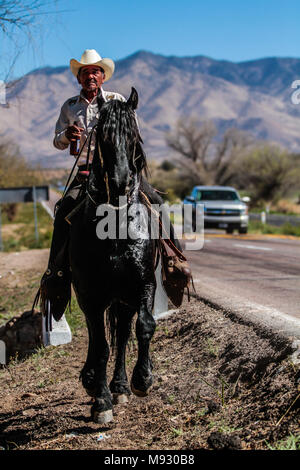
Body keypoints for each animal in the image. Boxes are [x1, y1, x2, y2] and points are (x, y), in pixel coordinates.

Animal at [69, 87, 157, 422]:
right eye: (102, 135)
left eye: (133, 134)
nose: (120, 183)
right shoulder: (89, 294)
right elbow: (100, 346)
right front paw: (100, 400)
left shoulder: (144, 283)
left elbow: (144, 326)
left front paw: (142, 380)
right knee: (103, 340)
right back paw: (98, 384)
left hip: (124, 297)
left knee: (121, 335)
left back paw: (120, 386)